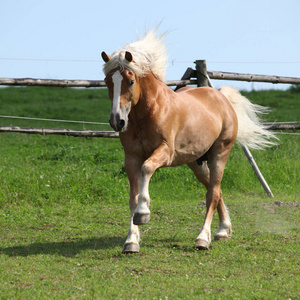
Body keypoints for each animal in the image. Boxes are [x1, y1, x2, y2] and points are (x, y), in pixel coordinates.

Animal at [101, 29, 276, 253]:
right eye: (108, 82)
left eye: (130, 82)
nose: (117, 121)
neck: (149, 112)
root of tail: (220, 97)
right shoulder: (131, 158)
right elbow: (133, 198)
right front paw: (131, 241)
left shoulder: (165, 152)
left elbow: (147, 168)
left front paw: (143, 213)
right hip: (196, 162)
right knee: (216, 190)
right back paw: (223, 230)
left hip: (219, 154)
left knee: (212, 195)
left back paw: (203, 238)